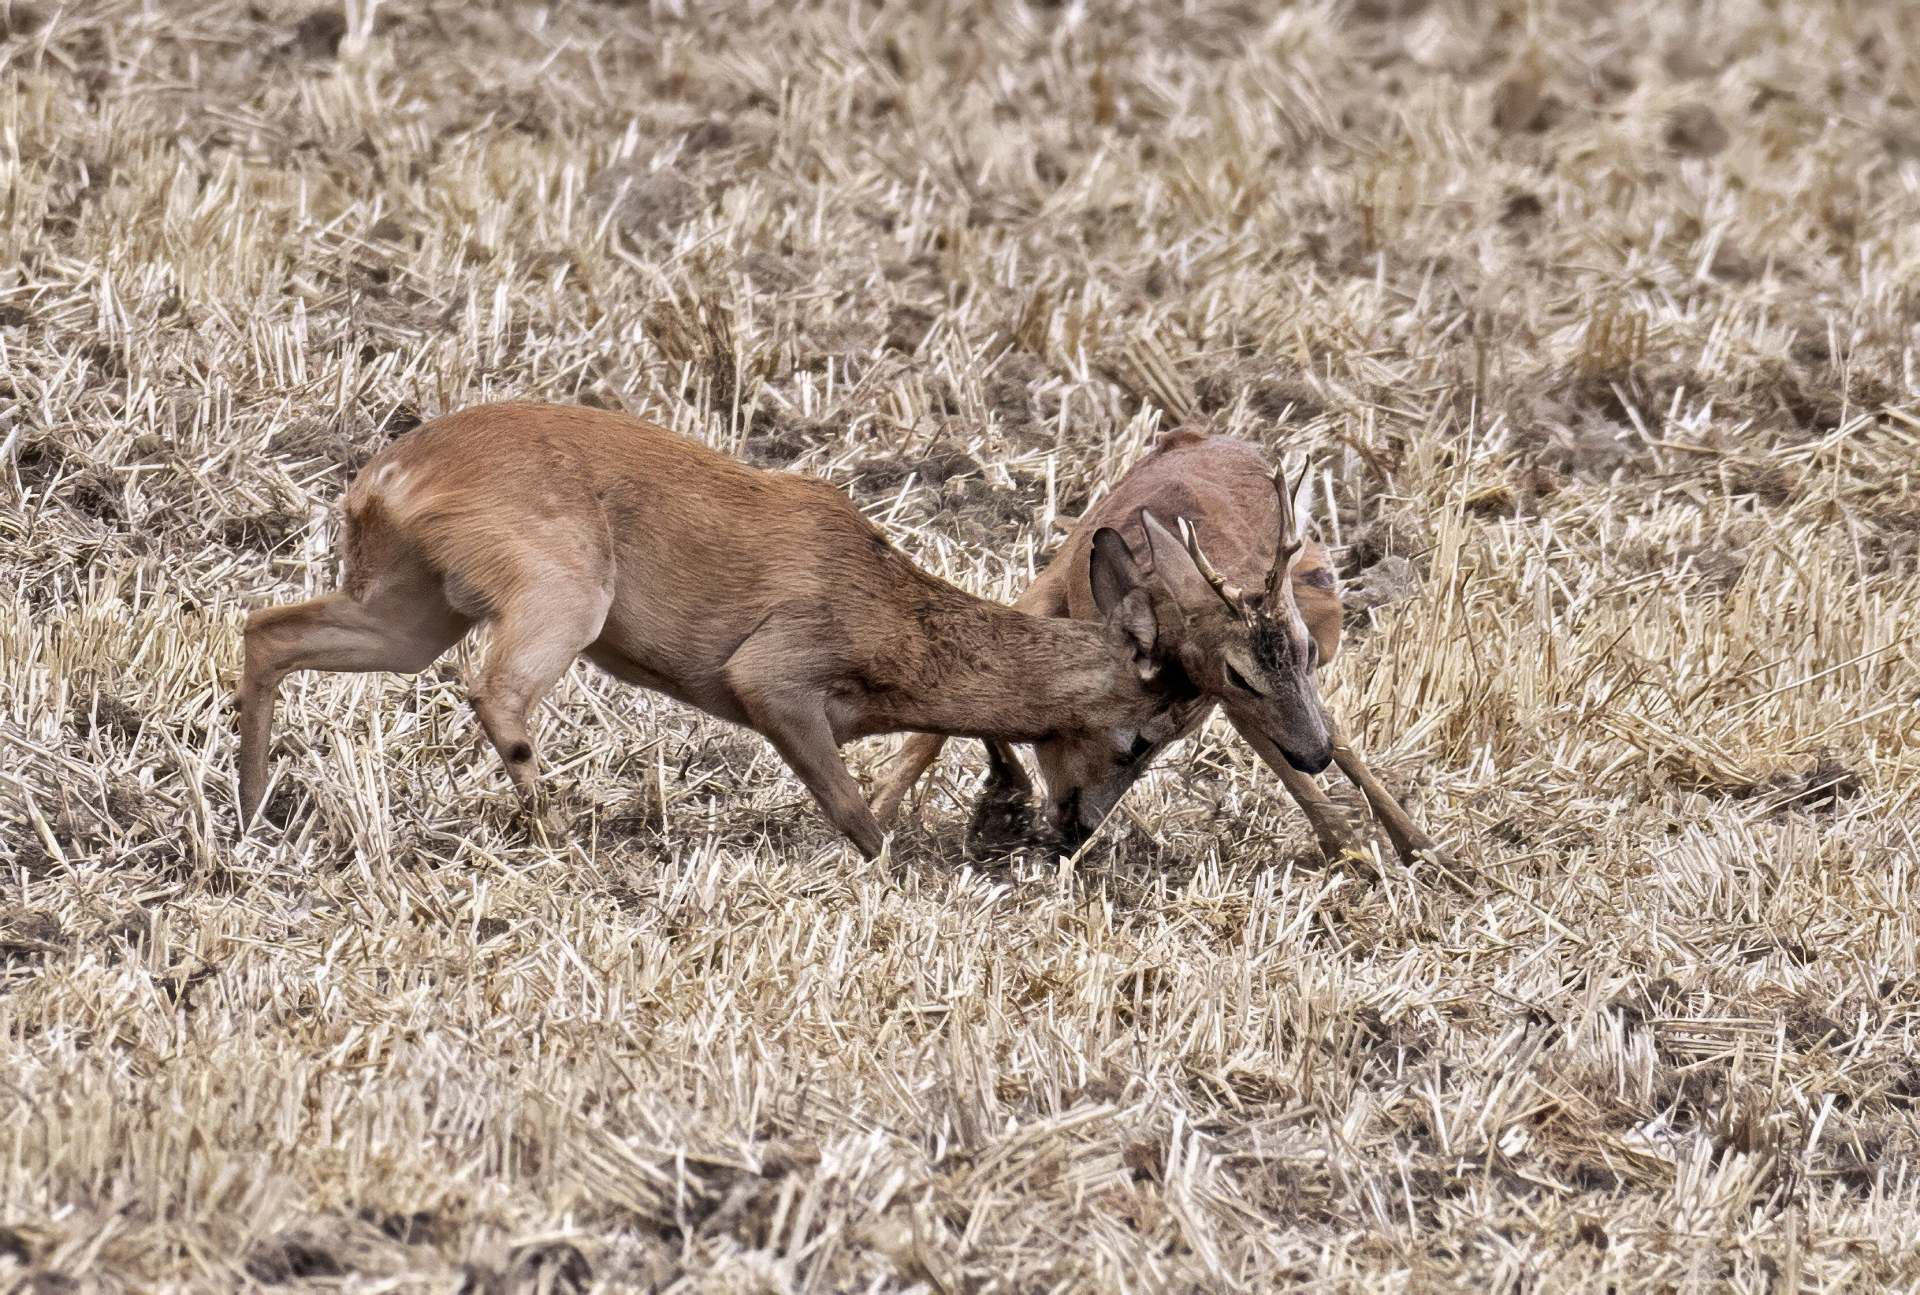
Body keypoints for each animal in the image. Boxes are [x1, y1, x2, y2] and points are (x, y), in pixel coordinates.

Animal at [232, 397, 1221, 853]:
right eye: (1143, 735)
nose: (1077, 829)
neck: (900, 626)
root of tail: (385, 478)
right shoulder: (772, 675)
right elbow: (853, 813)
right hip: (564, 591)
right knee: (494, 691)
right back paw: (561, 831)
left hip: (410, 610)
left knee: (266, 628)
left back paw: (250, 808)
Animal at [867, 426, 1443, 868]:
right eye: (1238, 673)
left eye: (1148, 745)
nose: (1073, 830)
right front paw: (881, 813)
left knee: (1325, 733)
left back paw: (1414, 850)